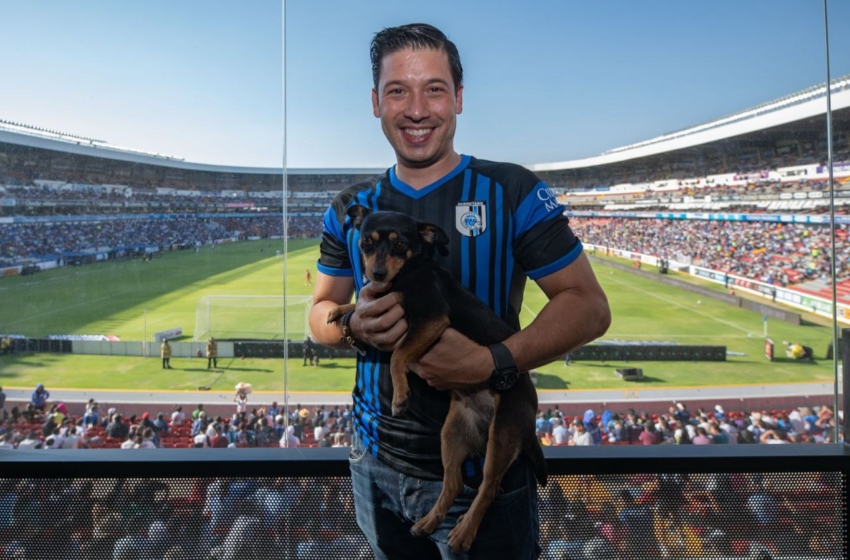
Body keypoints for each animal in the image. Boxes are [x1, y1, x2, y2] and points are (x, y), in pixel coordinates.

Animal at [324, 205, 544, 552]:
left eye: (400, 244)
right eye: (366, 242)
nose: (378, 274)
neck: (409, 271)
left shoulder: (430, 318)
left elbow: (398, 355)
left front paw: (401, 396)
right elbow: (363, 302)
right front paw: (341, 310)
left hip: (503, 434)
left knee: (488, 487)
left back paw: (464, 532)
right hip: (451, 434)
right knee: (453, 483)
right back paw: (428, 523)